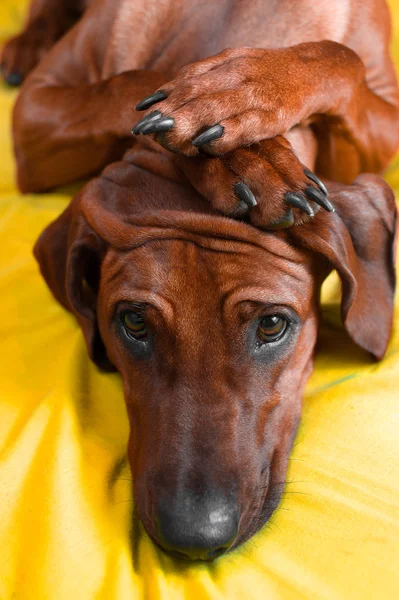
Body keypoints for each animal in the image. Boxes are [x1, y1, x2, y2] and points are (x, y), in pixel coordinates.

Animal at [1, 0, 398, 564]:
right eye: (133, 323)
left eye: (272, 325)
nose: (192, 538)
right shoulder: (34, 111)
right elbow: (135, 79)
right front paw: (247, 153)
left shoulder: (381, 116)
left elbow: (344, 60)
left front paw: (244, 96)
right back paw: (22, 48)